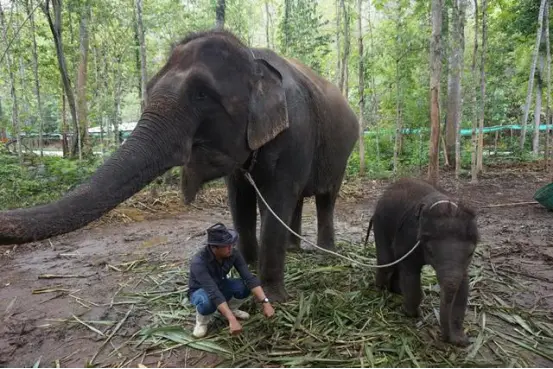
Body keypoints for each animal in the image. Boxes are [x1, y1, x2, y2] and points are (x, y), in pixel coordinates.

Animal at [0, 28, 358, 300]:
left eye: (201, 95)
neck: (251, 55)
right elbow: (239, 201)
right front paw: (246, 270)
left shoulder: (295, 132)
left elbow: (276, 200)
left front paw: (273, 297)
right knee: (299, 199)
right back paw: (296, 250)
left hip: (343, 151)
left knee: (325, 198)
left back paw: (326, 254)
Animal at [362, 177, 478, 346]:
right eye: (430, 251)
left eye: (471, 253)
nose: (445, 338)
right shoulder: (408, 235)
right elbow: (410, 272)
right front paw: (413, 313)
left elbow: (463, 285)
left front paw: (461, 340)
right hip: (381, 222)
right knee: (387, 260)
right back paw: (380, 289)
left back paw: (396, 291)